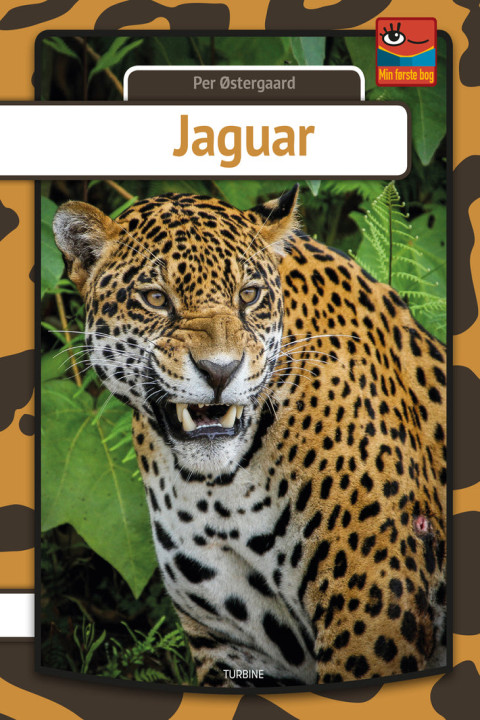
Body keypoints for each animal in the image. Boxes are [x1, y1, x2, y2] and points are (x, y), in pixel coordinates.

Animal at [52, 186, 447, 688]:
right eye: (156, 298)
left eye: (249, 294)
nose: (220, 370)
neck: (220, 492)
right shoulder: (231, 643)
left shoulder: (375, 610)